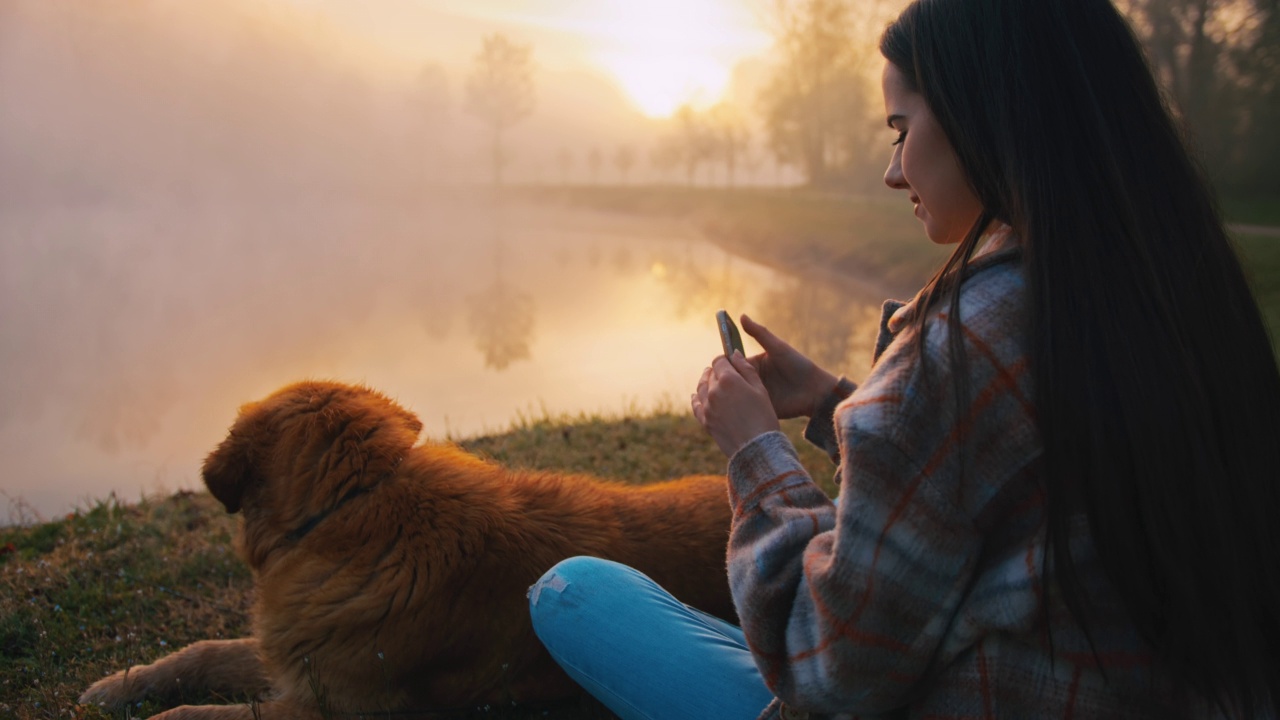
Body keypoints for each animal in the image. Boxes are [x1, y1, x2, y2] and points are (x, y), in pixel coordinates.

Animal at [80, 379, 737, 712]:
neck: (354, 503)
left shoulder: (328, 706)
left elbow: (197, 714)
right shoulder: (300, 661)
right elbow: (205, 652)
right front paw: (120, 686)